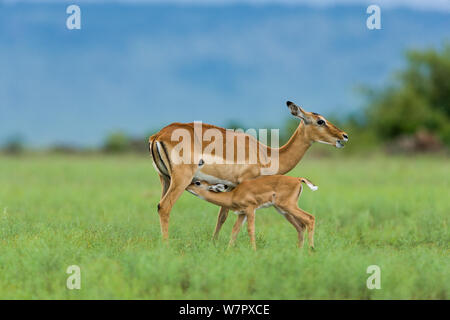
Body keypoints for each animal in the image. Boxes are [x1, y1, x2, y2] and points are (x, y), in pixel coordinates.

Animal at [186, 175, 320, 250]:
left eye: (198, 183)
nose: (186, 186)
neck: (233, 195)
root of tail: (298, 180)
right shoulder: (242, 213)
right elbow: (235, 230)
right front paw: (228, 251)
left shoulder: (250, 209)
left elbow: (251, 229)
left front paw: (254, 250)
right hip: (282, 210)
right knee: (300, 226)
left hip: (288, 206)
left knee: (310, 218)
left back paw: (311, 250)